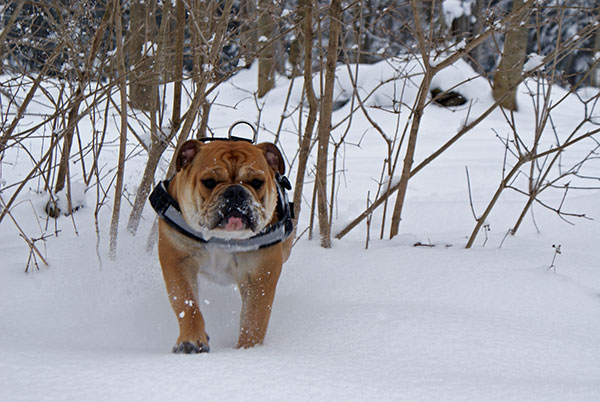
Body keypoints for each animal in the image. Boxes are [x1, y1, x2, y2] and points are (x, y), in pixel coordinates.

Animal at [156, 140, 294, 354]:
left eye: (256, 182)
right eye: (209, 182)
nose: (235, 191)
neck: (224, 238)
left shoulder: (261, 276)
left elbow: (254, 320)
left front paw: (246, 350)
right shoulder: (178, 261)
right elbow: (187, 303)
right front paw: (191, 340)